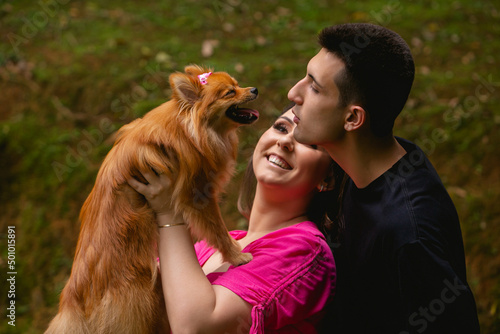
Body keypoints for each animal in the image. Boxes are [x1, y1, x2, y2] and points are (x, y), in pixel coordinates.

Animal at [44, 65, 258, 334]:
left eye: (238, 84)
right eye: (230, 92)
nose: (254, 89)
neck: (192, 129)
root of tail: (73, 302)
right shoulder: (198, 195)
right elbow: (218, 231)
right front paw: (238, 256)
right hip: (144, 296)